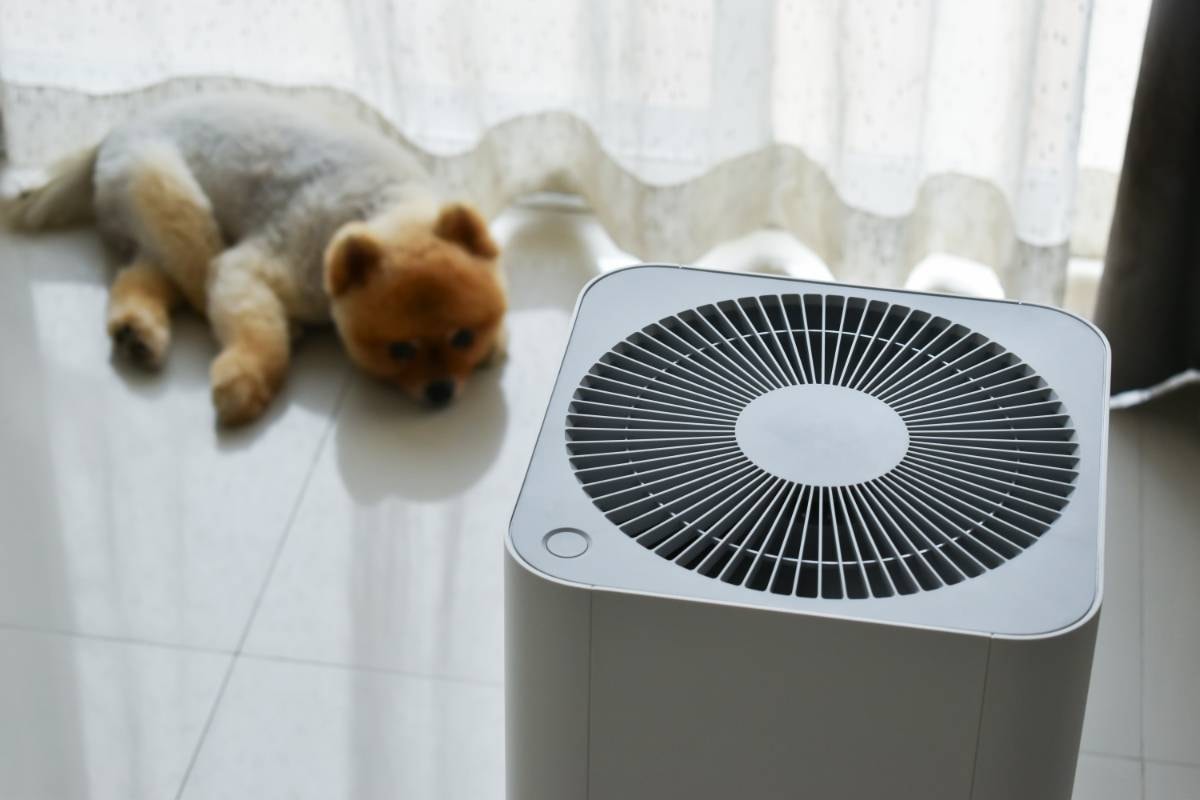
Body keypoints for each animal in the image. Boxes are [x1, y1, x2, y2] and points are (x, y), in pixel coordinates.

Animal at [9, 95, 506, 424]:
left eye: (463, 338)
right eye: (401, 350)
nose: (440, 390)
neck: (381, 205)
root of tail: (112, 133)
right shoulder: (256, 266)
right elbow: (255, 333)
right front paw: (245, 381)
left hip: (156, 229)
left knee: (142, 277)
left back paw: (138, 333)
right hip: (176, 201)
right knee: (195, 285)